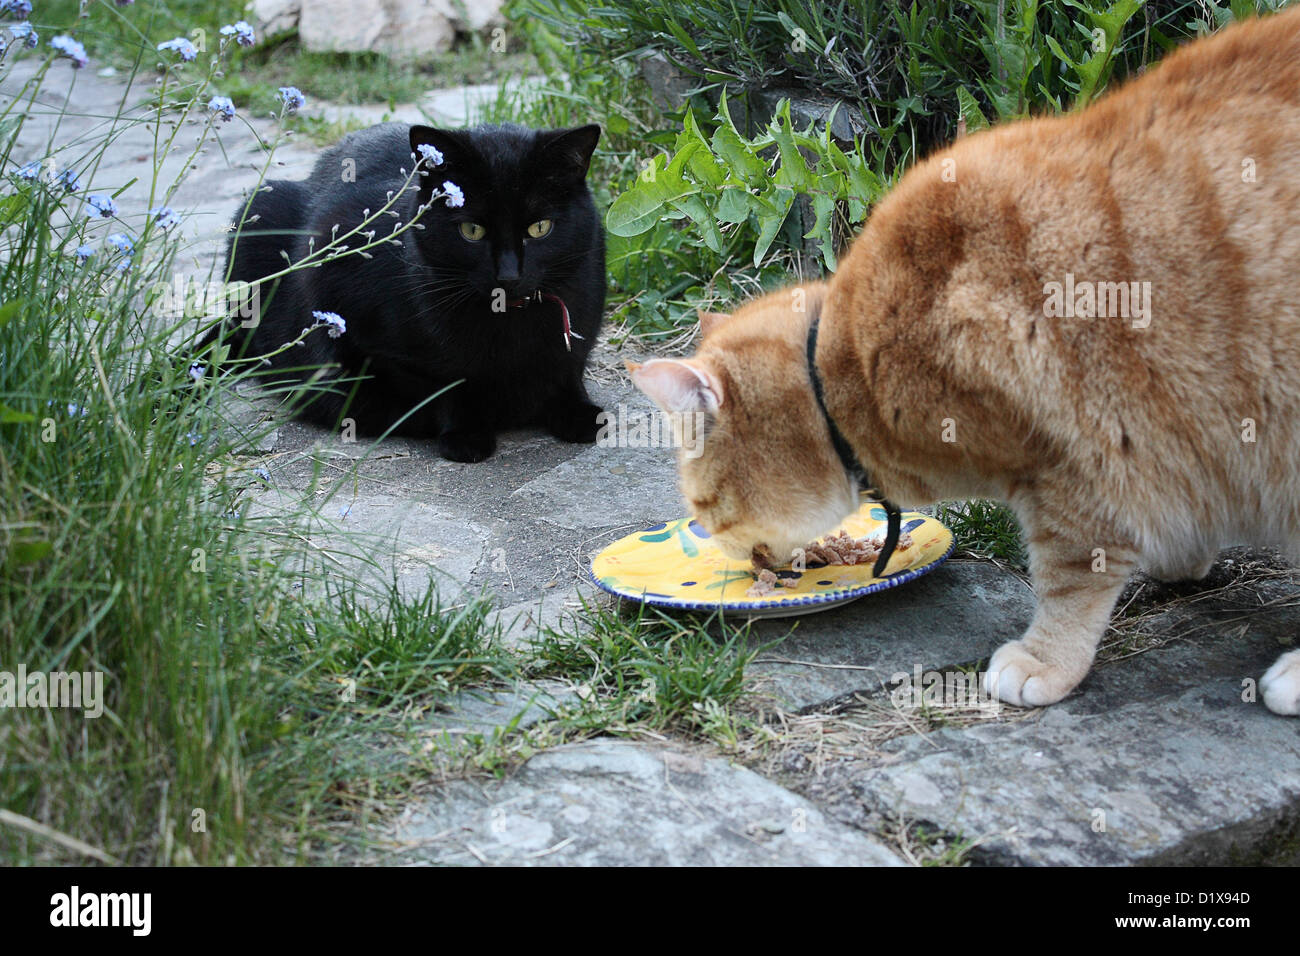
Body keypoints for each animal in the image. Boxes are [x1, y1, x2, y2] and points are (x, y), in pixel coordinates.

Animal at [215, 121, 605, 463]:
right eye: (471, 230)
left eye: (540, 228)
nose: (508, 275)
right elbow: (447, 383)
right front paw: (466, 433)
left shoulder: (579, 328)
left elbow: (568, 368)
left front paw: (581, 413)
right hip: (258, 212)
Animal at [634, 5, 1300, 712]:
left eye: (703, 509)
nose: (738, 563)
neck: (849, 370)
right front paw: (1185, 555)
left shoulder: (1081, 465)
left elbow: (1069, 577)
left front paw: (1045, 659)